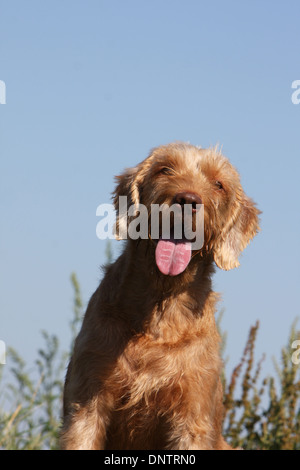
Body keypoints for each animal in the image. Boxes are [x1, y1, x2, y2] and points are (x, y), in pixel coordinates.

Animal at [60, 141, 260, 450]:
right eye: (164, 169)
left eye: (219, 184)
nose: (188, 199)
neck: (159, 311)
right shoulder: (87, 403)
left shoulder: (191, 418)